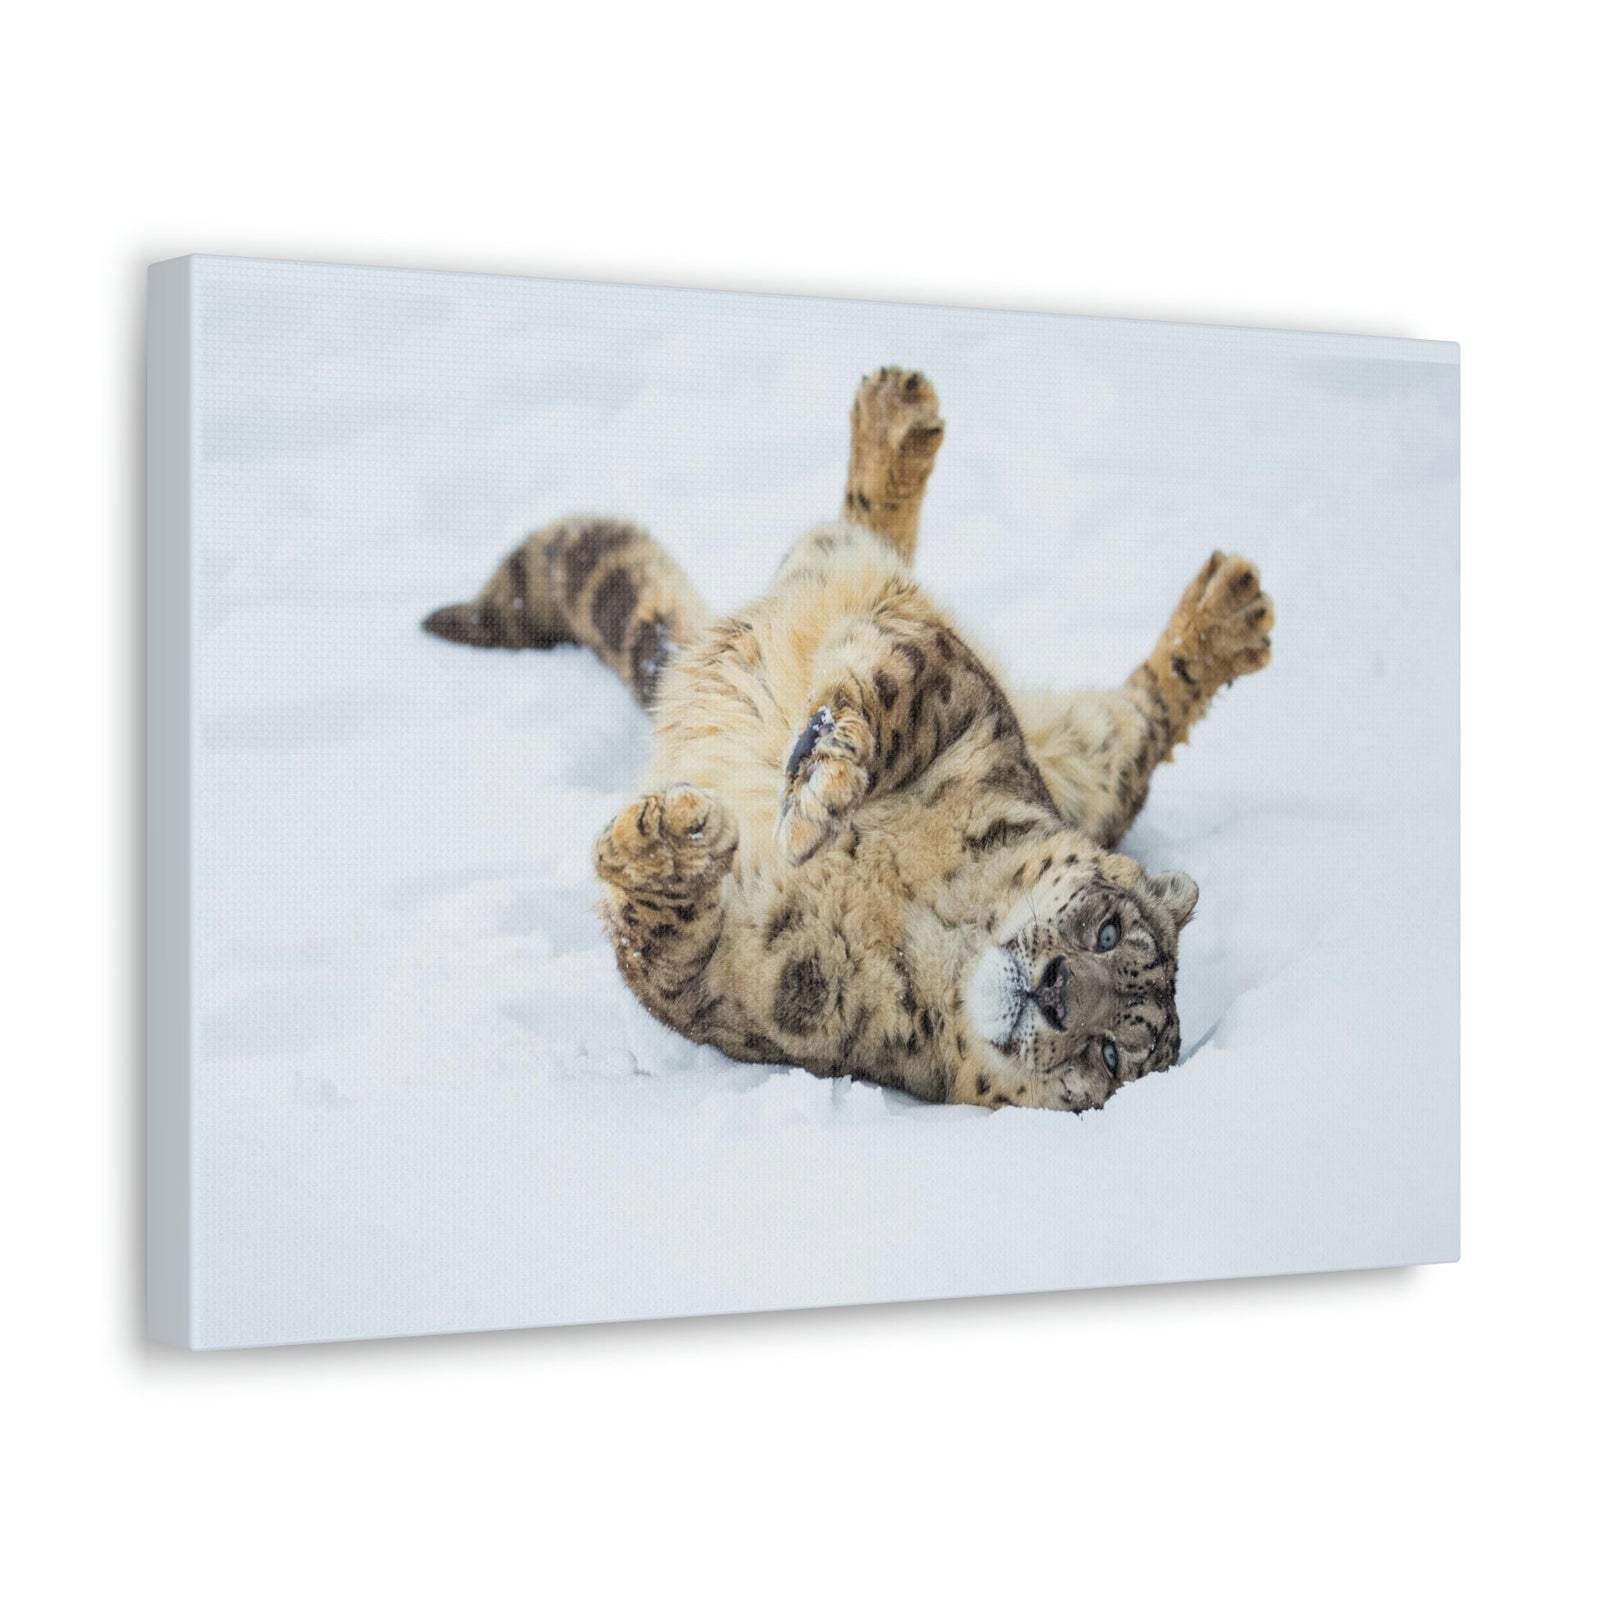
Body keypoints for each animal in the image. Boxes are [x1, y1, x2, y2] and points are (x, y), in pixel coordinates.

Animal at [423, 368, 1273, 1112]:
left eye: (1110, 1055)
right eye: (1108, 928)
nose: (1061, 991)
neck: (932, 916)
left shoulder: (749, 992)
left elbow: (667, 948)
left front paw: (680, 840)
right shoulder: (962, 698)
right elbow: (889, 696)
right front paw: (810, 795)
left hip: (1095, 763)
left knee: (1143, 725)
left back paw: (1232, 616)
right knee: (860, 536)